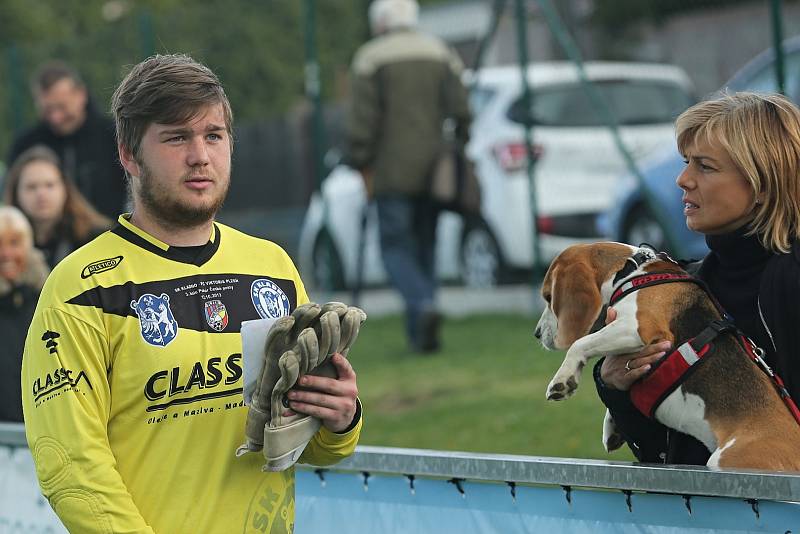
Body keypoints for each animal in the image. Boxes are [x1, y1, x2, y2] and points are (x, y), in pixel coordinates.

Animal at [532, 243, 800, 474]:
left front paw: (562, 381)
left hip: (727, 459)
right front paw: (612, 427)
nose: (536, 334)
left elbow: (580, 344)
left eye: (548, 297)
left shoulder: (637, 327)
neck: (629, 272)